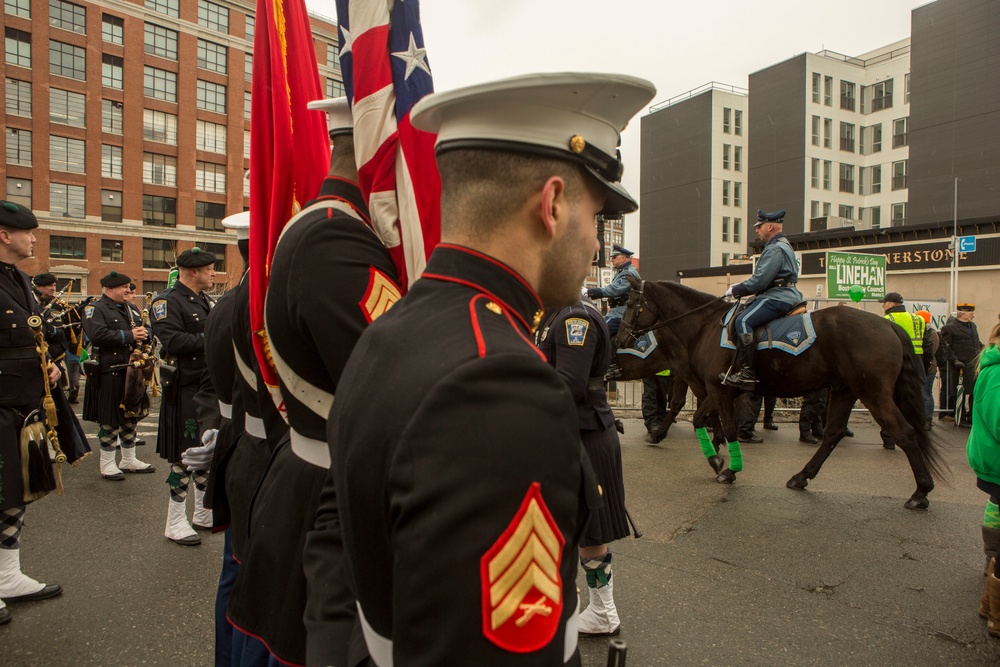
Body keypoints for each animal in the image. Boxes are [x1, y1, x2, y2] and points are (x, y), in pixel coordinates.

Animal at [608, 276, 944, 512]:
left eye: (631, 304)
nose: (621, 338)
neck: (704, 326)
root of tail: (888, 326)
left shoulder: (718, 388)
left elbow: (724, 425)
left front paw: (728, 468)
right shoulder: (719, 388)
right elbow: (701, 418)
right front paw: (716, 458)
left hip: (873, 393)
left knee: (905, 432)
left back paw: (920, 492)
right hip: (845, 390)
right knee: (833, 433)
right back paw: (801, 476)